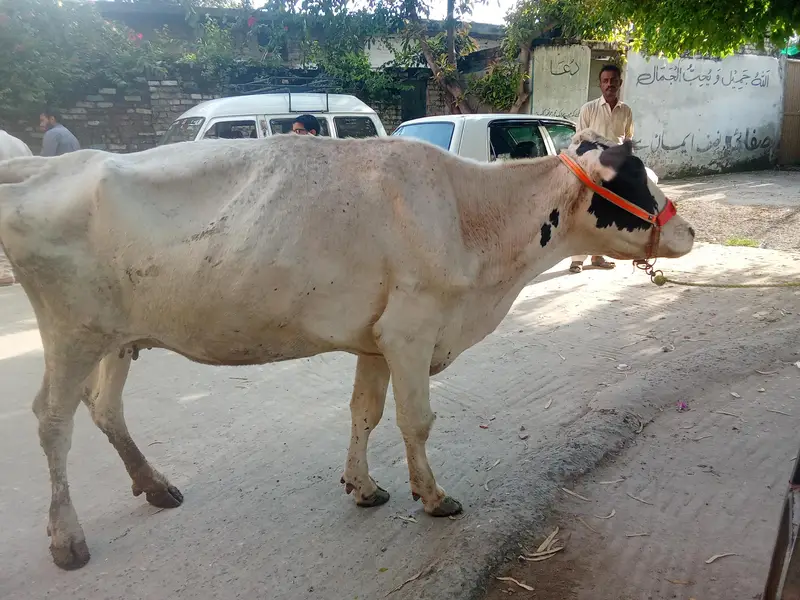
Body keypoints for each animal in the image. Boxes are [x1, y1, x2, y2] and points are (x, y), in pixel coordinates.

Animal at [0, 129, 695, 570]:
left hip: (116, 337)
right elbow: (416, 420)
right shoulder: (412, 330)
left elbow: (365, 411)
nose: (688, 230)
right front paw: (433, 498)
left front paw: (363, 487)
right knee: (53, 420)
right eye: (639, 179)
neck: (472, 218)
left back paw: (155, 485)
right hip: (71, 332)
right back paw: (67, 539)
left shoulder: (377, 339)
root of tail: (44, 167)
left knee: (103, 408)